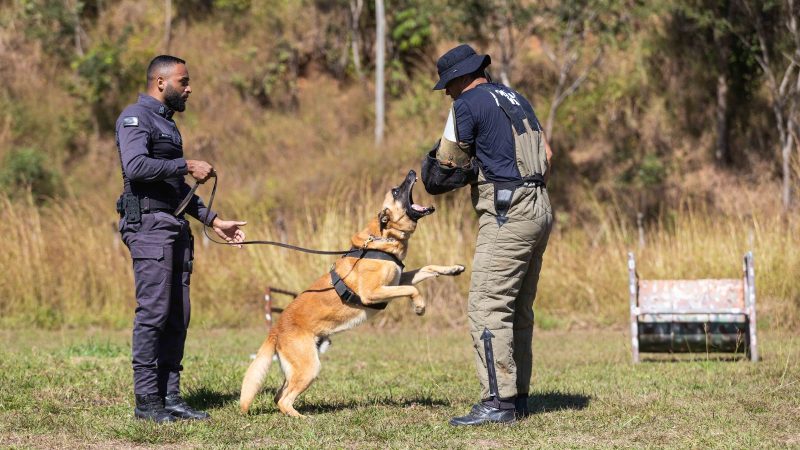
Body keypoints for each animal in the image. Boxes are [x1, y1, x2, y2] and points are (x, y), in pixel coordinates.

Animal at [239, 171, 462, 416]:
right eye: (396, 191)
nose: (413, 172)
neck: (383, 238)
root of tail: (275, 330)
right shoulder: (373, 292)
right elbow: (412, 288)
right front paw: (420, 306)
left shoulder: (398, 278)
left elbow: (427, 269)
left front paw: (453, 269)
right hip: (310, 367)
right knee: (283, 399)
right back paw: (301, 417)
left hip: (298, 368)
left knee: (279, 395)